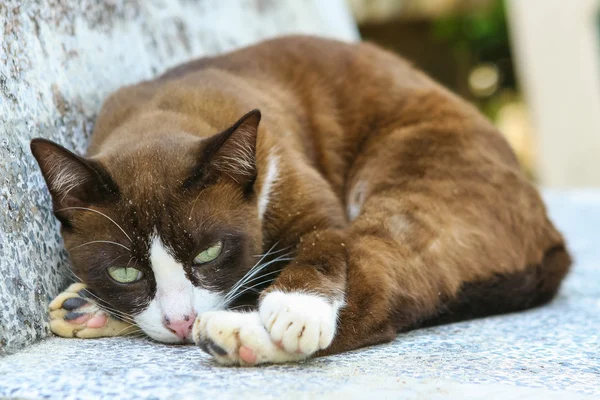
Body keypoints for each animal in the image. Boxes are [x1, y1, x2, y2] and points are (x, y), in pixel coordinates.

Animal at [30, 35, 568, 366]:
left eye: (208, 254)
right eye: (125, 273)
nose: (181, 322)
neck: (162, 110)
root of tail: (552, 233)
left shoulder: (310, 200)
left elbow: (322, 247)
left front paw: (295, 312)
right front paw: (97, 303)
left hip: (414, 180)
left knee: (381, 298)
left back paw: (238, 336)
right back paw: (86, 309)